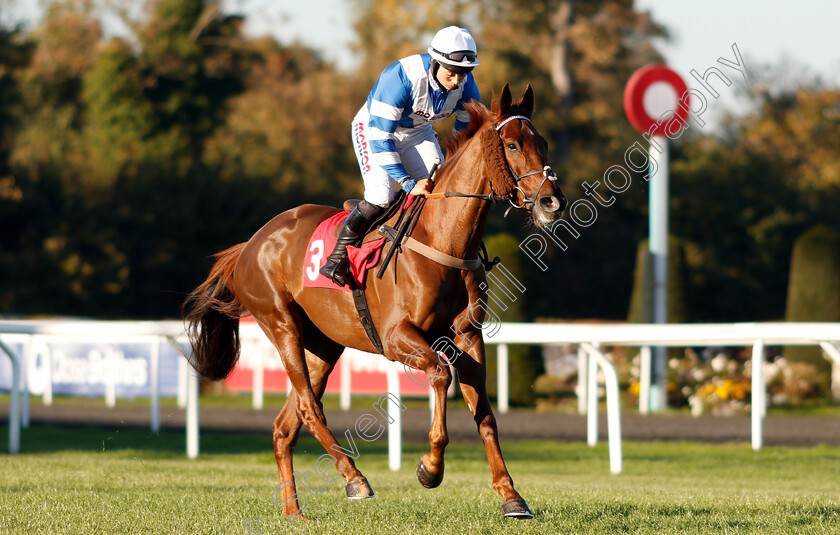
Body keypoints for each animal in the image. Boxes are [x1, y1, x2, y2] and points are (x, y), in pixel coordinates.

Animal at [183, 84, 564, 520]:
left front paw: (511, 495)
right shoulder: (397, 337)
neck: (444, 241)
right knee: (309, 407)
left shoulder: (468, 336)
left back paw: (294, 511)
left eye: (543, 142)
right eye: (513, 144)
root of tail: (251, 243)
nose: (552, 201)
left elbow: (484, 411)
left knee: (286, 425)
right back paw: (354, 479)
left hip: (323, 344)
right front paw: (430, 468)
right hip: (281, 325)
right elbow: (440, 375)